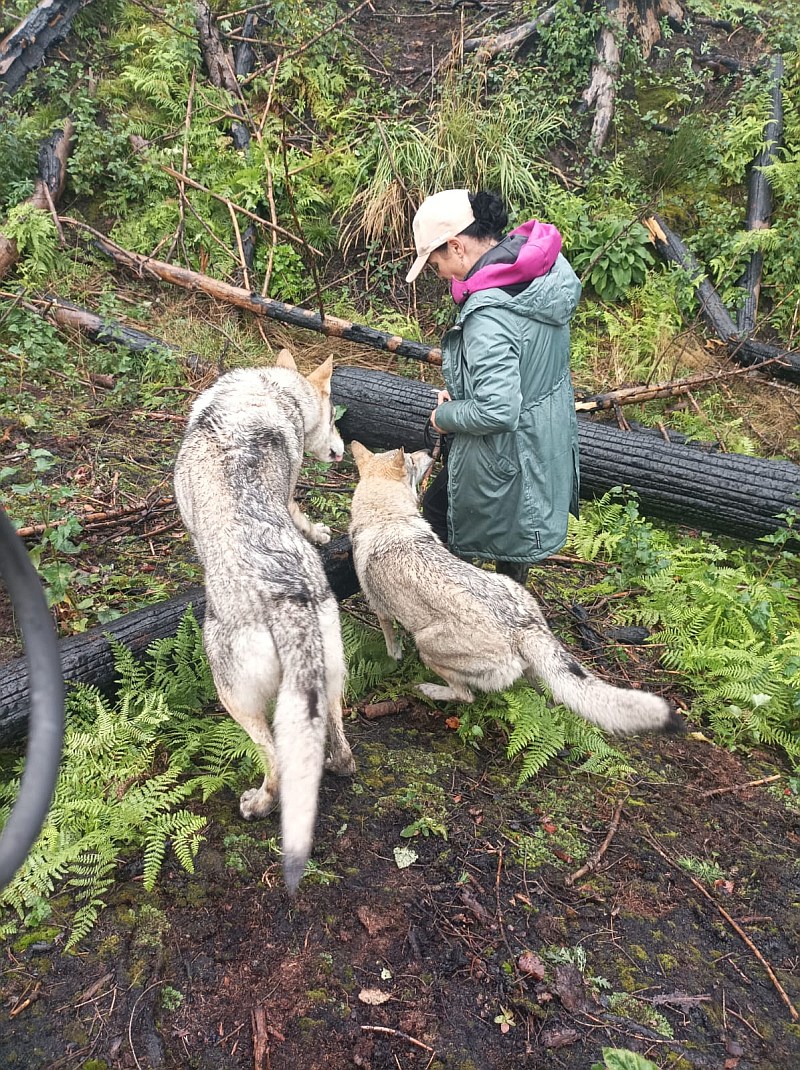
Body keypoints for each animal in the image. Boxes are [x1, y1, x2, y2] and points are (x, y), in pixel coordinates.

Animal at [176, 348, 355, 885]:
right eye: (334, 418)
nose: (342, 450)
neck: (273, 391)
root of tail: (287, 599)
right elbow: (299, 511)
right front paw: (317, 530)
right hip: (328, 681)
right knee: (340, 750)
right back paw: (337, 765)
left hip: (234, 699)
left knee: (276, 762)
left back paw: (259, 804)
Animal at [350, 440, 680, 736]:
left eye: (411, 459)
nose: (428, 450)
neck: (387, 517)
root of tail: (523, 626)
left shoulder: (381, 611)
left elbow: (391, 644)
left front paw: (393, 658)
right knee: (552, 695)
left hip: (427, 647)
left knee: (466, 695)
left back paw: (428, 689)